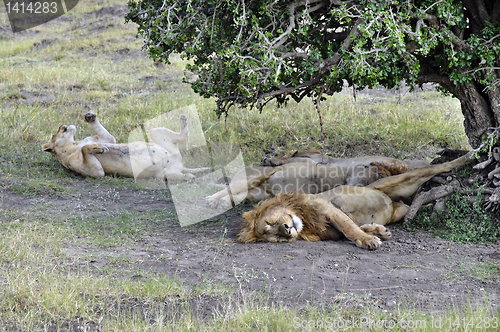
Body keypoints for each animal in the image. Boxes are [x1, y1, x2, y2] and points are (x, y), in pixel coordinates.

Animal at [238, 152, 472, 249]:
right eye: (275, 237)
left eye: (271, 222)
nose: (287, 230)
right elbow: (350, 229)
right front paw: (377, 232)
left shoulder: (328, 207)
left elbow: (350, 228)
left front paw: (368, 240)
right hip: (399, 206)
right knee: (414, 203)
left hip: (397, 180)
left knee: (435, 168)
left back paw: (468, 157)